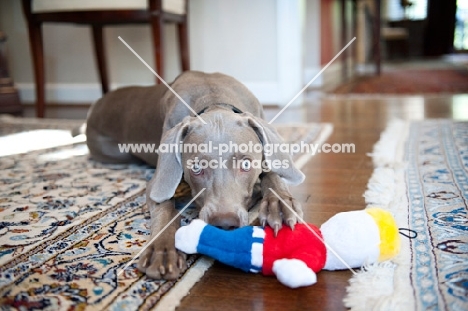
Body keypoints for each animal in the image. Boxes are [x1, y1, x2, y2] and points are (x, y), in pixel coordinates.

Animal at [84, 70, 306, 280]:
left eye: (245, 164)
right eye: (197, 167)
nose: (224, 224)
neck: (213, 98)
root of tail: (96, 105)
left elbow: (273, 174)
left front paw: (279, 206)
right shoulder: (157, 182)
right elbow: (166, 207)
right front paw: (162, 250)